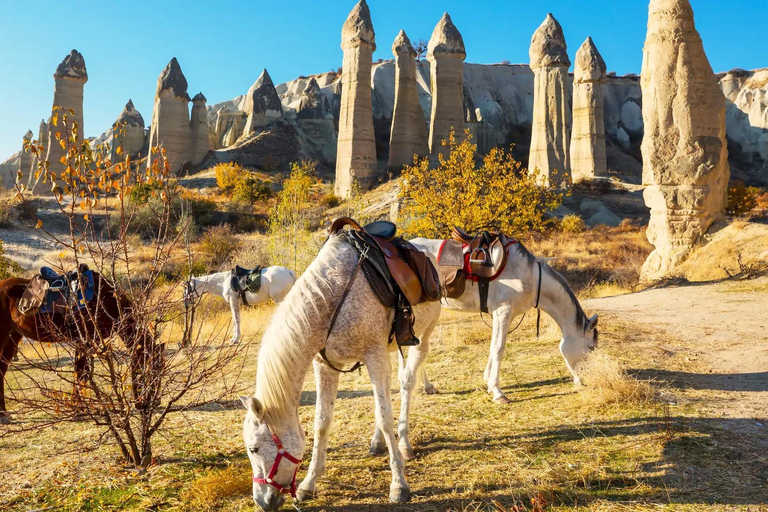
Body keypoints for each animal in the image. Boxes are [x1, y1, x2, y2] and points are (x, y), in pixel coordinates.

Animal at [0, 270, 157, 423]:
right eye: (151, 369)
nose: (149, 403)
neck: (105, 300)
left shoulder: (90, 342)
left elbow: (81, 372)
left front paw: (77, 407)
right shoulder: (84, 341)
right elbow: (80, 372)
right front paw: (77, 409)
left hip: (13, 335)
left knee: (2, 368)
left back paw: (3, 413)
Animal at [240, 235, 441, 510]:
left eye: (254, 449)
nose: (261, 500)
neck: (330, 299)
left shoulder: (374, 356)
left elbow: (385, 418)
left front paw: (399, 484)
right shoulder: (326, 366)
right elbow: (322, 422)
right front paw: (309, 483)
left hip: (422, 337)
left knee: (407, 384)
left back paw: (404, 443)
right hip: (388, 351)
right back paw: (378, 442)